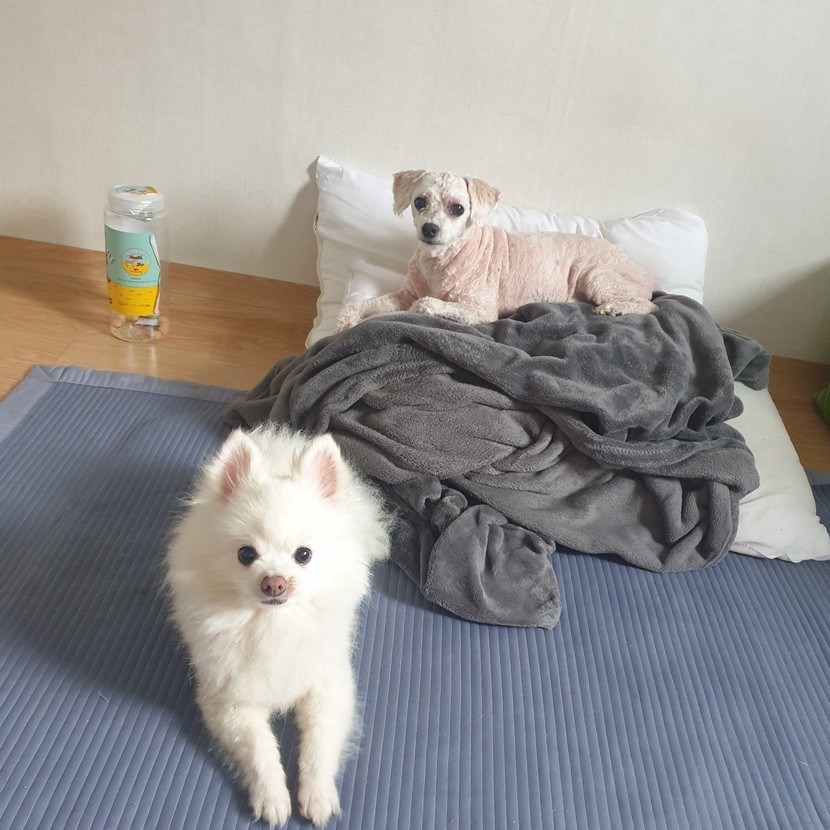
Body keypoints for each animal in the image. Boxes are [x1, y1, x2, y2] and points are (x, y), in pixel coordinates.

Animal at [165, 425, 390, 826]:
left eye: (303, 555)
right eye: (246, 554)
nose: (274, 583)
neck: (272, 625)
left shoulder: (327, 688)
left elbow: (318, 745)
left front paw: (317, 795)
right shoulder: (231, 702)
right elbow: (260, 749)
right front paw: (272, 797)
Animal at [336, 170, 659, 330]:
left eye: (458, 209)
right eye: (419, 202)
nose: (429, 229)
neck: (440, 262)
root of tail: (648, 275)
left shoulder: (480, 309)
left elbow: (425, 304)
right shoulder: (405, 294)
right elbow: (366, 304)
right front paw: (346, 319)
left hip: (596, 275)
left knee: (649, 306)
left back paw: (613, 308)